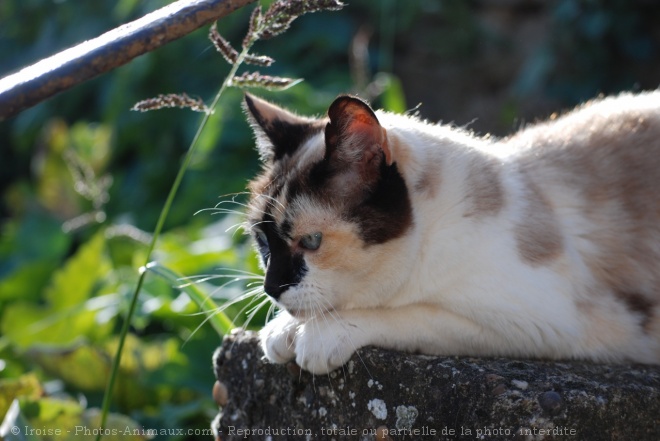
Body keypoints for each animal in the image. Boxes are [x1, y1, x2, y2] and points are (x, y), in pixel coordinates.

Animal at [242, 91, 660, 372]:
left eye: (311, 242)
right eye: (263, 242)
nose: (271, 288)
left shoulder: (542, 324)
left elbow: (406, 314)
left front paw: (311, 336)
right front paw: (283, 330)